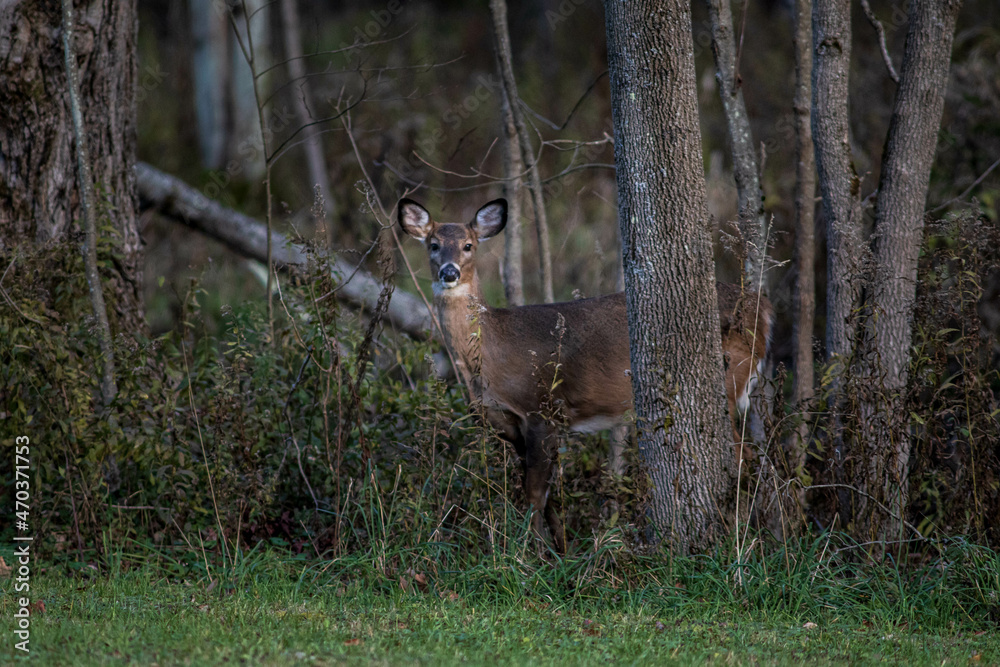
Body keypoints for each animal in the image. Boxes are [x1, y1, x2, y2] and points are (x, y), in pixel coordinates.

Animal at [398, 194, 772, 552]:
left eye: (468, 245)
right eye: (433, 244)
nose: (449, 273)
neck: (491, 353)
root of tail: (762, 309)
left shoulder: (542, 407)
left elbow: (534, 495)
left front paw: (531, 556)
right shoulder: (509, 424)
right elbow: (545, 496)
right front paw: (561, 549)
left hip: (729, 380)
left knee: (743, 456)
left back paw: (747, 534)